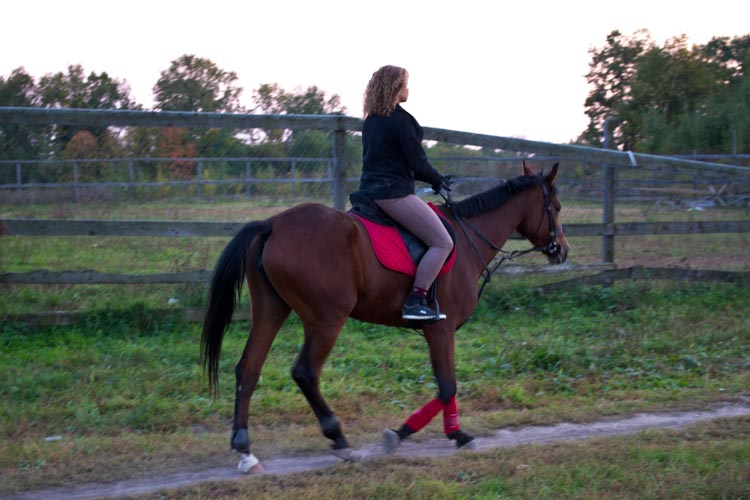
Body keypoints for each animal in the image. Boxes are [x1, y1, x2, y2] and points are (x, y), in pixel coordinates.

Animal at [201, 162, 569, 472]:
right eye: (556, 208)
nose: (562, 250)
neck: (466, 240)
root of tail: (273, 225)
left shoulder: (442, 331)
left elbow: (448, 385)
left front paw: (456, 433)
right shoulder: (441, 328)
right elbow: (447, 385)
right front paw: (404, 433)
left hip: (271, 309)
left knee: (248, 369)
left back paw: (245, 450)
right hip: (326, 320)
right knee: (305, 372)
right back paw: (338, 438)